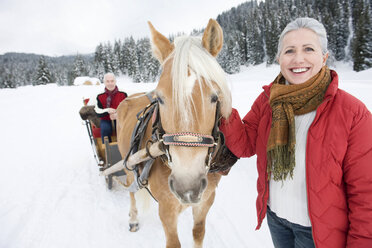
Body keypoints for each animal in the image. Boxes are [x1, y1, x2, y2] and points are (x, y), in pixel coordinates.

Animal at [116, 19, 232, 248]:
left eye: (215, 97)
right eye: (160, 98)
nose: (187, 187)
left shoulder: (206, 199)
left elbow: (198, 232)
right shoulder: (167, 209)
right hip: (127, 163)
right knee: (131, 190)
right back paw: (133, 218)